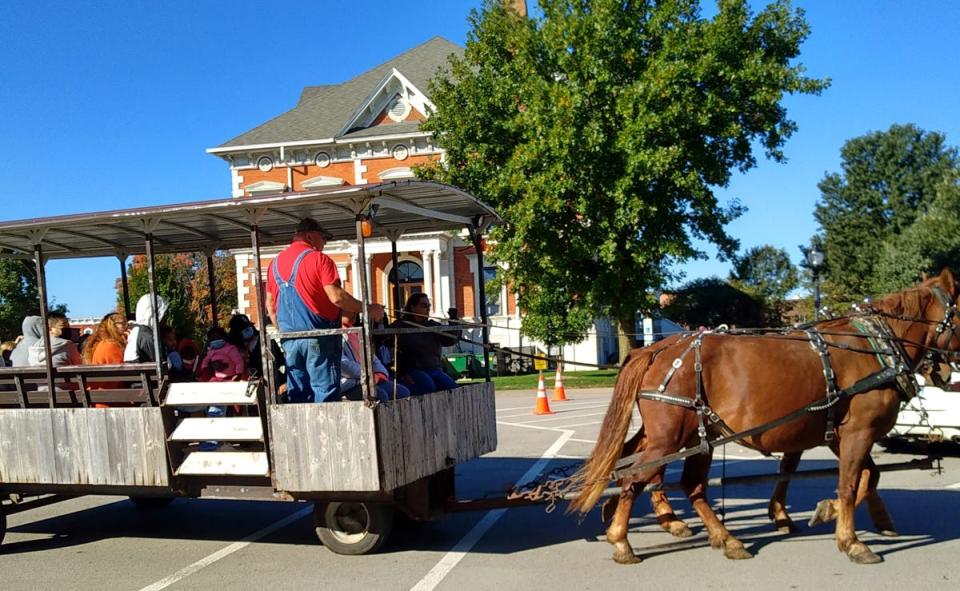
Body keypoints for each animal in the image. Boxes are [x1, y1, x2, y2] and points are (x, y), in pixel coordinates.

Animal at [572, 268, 956, 564]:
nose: (945, 374)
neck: (873, 347)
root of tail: (655, 349)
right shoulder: (857, 431)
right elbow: (850, 483)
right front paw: (849, 538)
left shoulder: (837, 433)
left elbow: (865, 476)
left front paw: (839, 514)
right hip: (670, 436)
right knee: (635, 476)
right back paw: (622, 539)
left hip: (696, 435)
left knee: (685, 483)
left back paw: (722, 537)